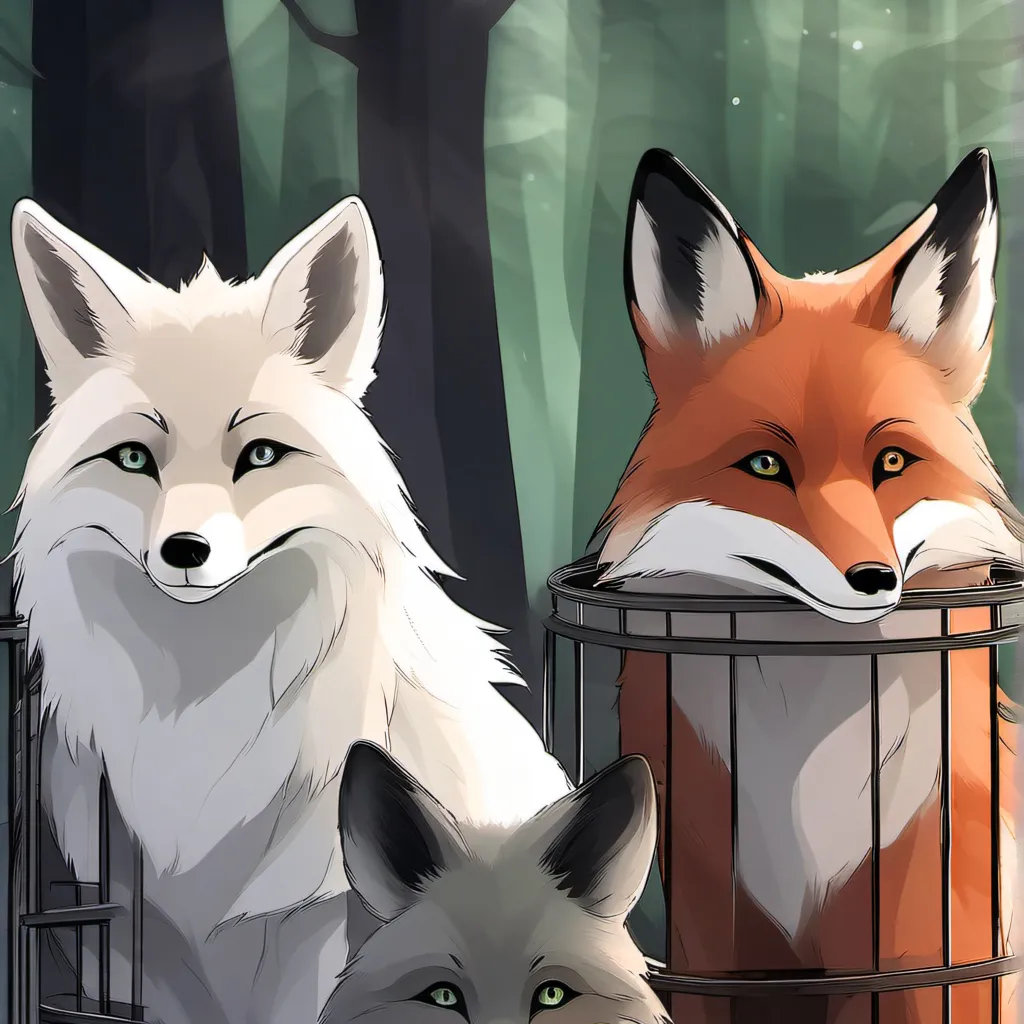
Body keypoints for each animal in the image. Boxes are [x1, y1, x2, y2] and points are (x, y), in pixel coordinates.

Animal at [8, 195, 572, 1024]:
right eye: (135, 459)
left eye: (262, 456)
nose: (184, 550)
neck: (201, 710)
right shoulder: (140, 955)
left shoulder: (321, 927)